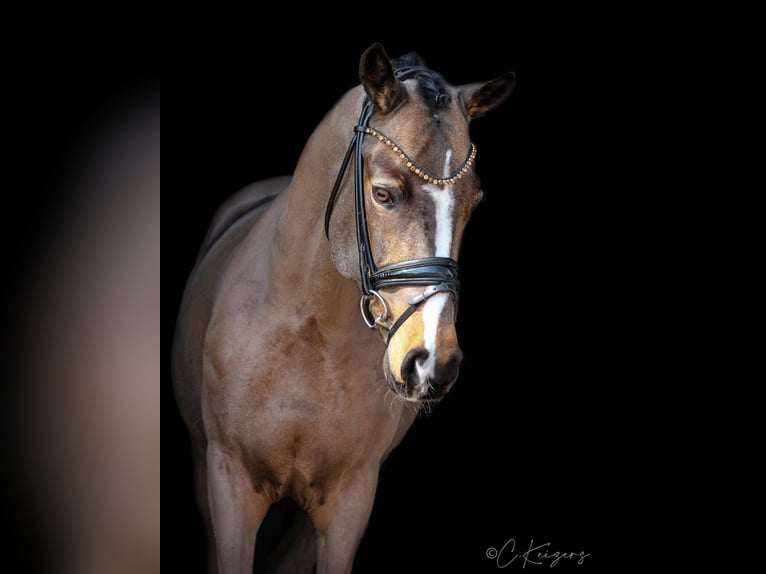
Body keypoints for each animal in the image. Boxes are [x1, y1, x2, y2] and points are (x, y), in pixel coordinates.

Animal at [174, 42, 516, 572]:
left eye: (473, 202)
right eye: (383, 193)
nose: (431, 362)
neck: (307, 331)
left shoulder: (351, 501)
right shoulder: (229, 482)